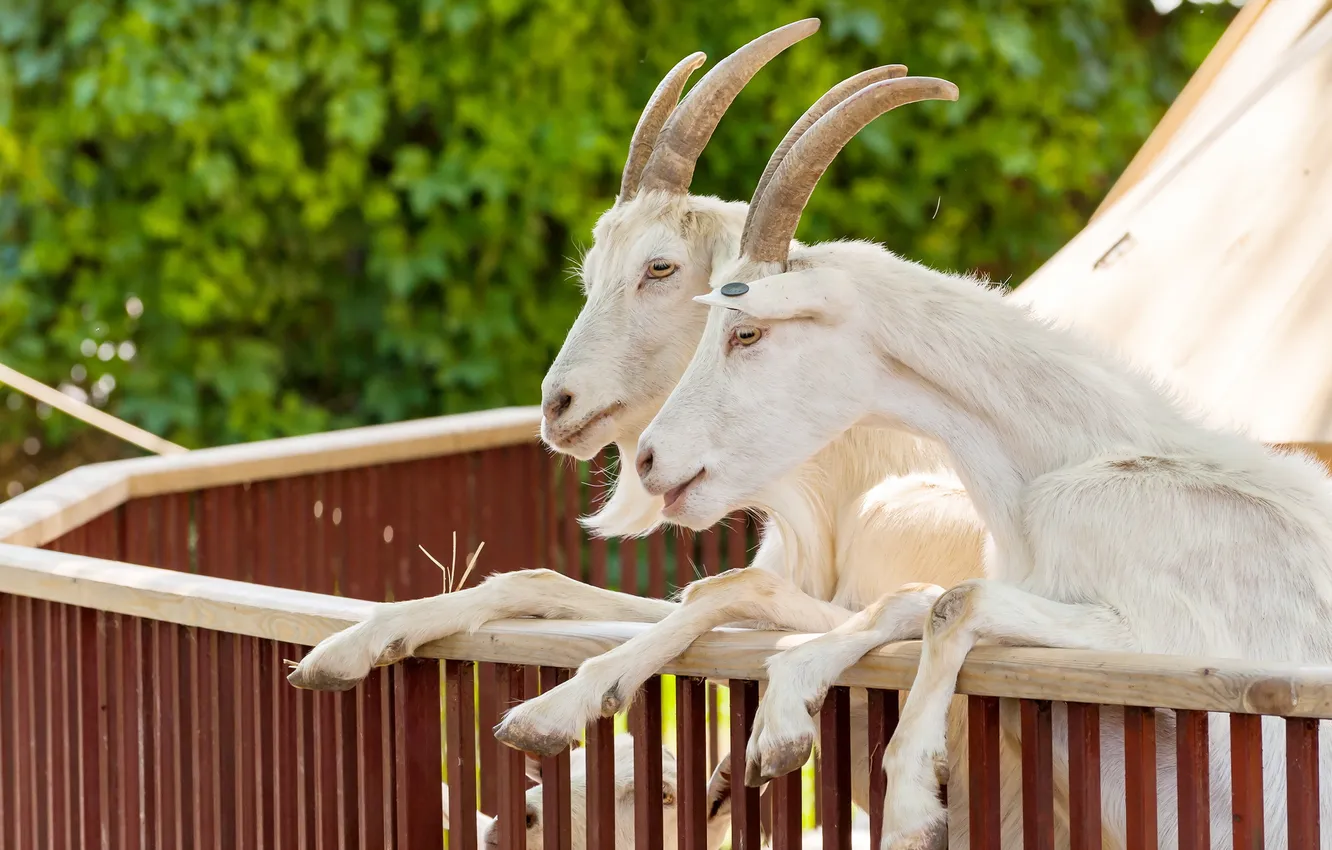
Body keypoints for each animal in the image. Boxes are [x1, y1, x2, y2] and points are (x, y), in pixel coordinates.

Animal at [620, 76, 1332, 849]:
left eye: (746, 332)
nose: (652, 460)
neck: (1077, 463)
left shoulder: (1166, 644)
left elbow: (957, 600)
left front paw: (909, 799)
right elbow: (915, 598)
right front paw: (783, 715)